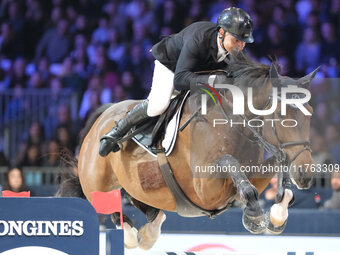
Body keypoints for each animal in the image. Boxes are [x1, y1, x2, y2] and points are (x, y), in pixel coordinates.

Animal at [56, 52, 318, 250]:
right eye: (282, 116)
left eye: (311, 115)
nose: (305, 176)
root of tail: (104, 115)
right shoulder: (205, 189)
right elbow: (232, 167)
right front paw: (254, 217)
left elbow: (273, 175)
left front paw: (277, 214)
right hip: (96, 182)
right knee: (107, 205)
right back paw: (131, 235)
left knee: (139, 201)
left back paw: (149, 232)